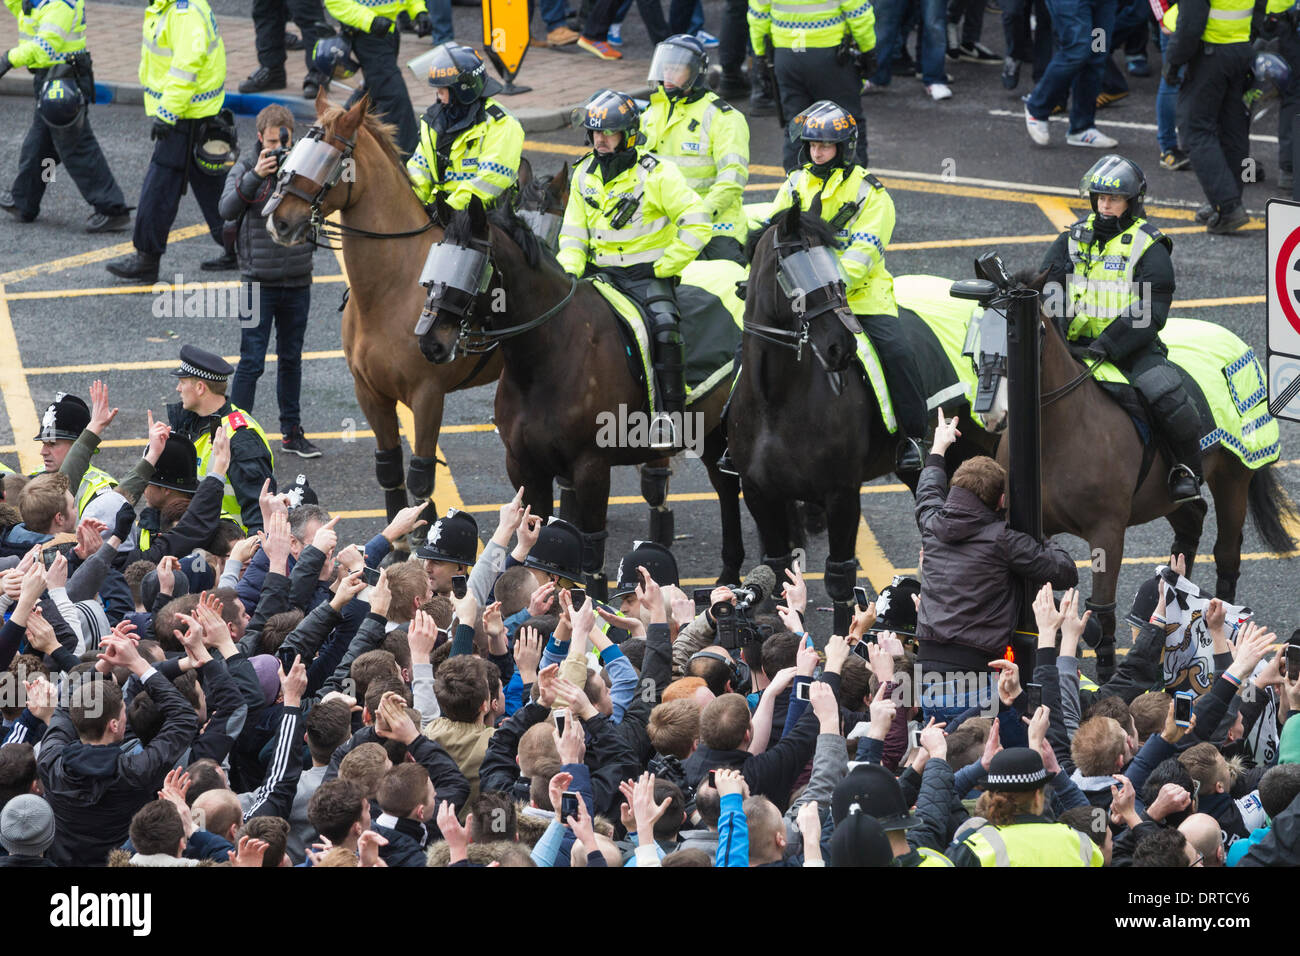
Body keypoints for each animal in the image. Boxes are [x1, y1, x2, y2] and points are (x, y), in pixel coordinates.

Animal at [977, 265, 1294, 676]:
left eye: (1031, 331)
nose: (991, 412)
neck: (1058, 434)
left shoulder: (1107, 531)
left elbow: (1101, 612)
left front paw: (1105, 672)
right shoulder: (1032, 528)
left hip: (1233, 477)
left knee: (1227, 552)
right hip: (1169, 496)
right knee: (1192, 523)